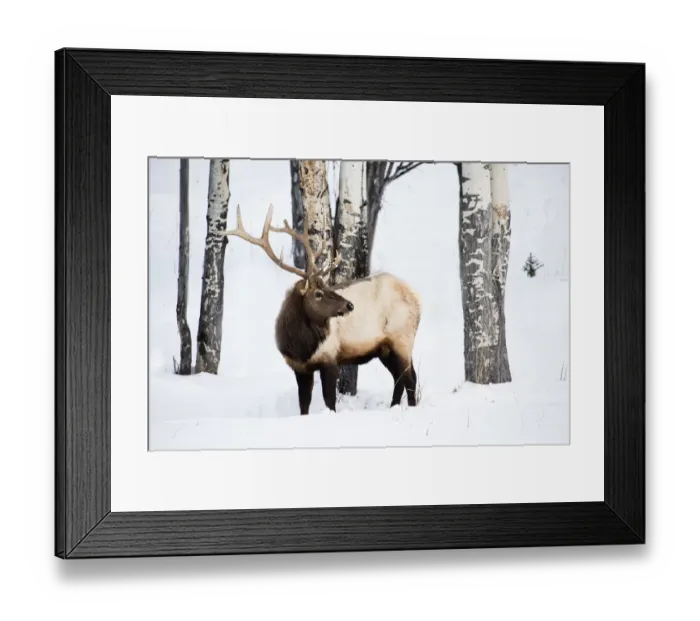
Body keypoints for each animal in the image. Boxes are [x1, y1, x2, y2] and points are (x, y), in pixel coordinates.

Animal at [219, 204, 422, 416]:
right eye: (318, 293)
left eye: (326, 286)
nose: (349, 305)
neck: (301, 346)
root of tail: (418, 298)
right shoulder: (299, 367)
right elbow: (304, 403)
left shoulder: (330, 358)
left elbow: (329, 399)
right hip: (385, 349)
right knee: (401, 378)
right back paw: (394, 407)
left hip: (402, 339)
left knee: (409, 378)